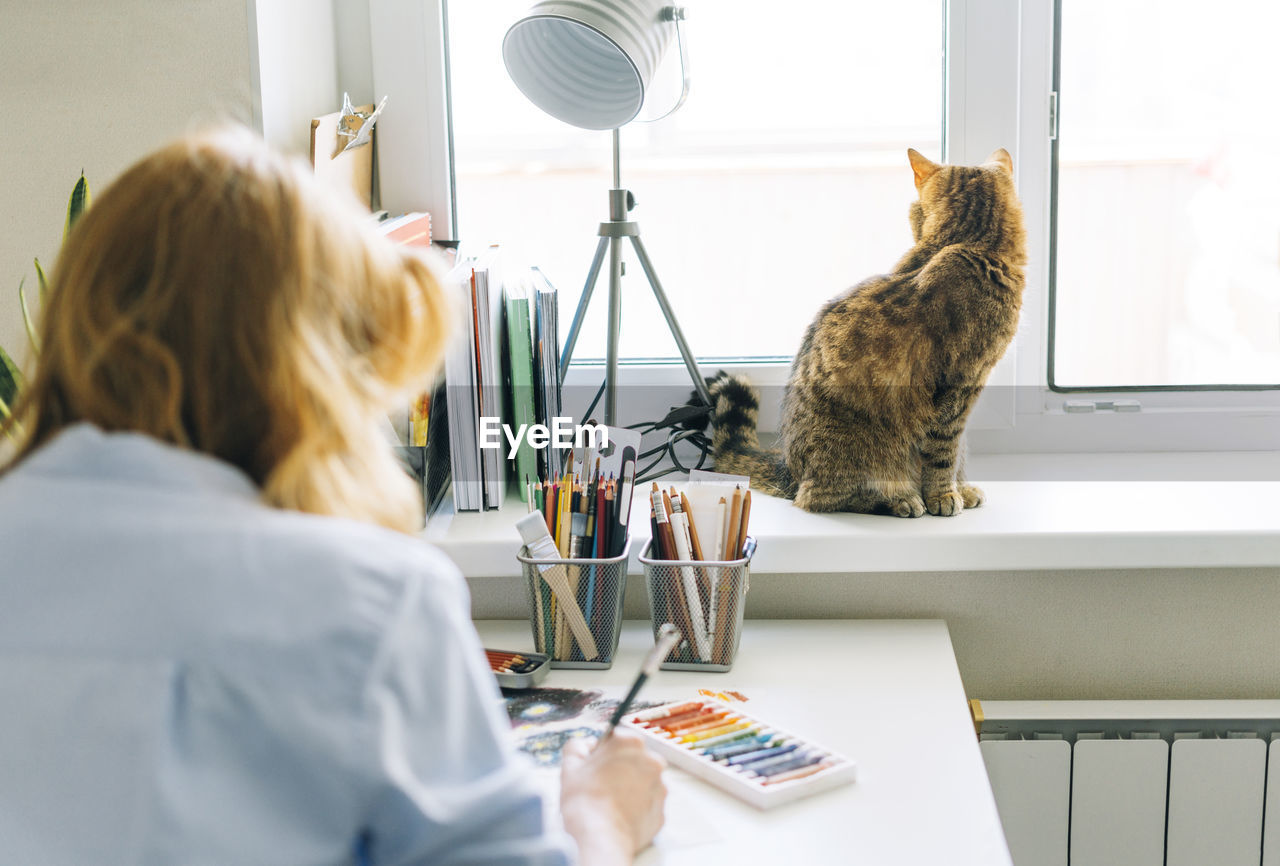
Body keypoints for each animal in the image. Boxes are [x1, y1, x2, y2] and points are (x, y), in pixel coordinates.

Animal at [706, 147, 1024, 514]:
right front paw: (943, 496)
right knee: (819, 498)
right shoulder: (958, 387)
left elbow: (956, 454)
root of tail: (788, 470)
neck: (972, 245)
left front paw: (962, 488)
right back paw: (900, 499)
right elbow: (944, 453)